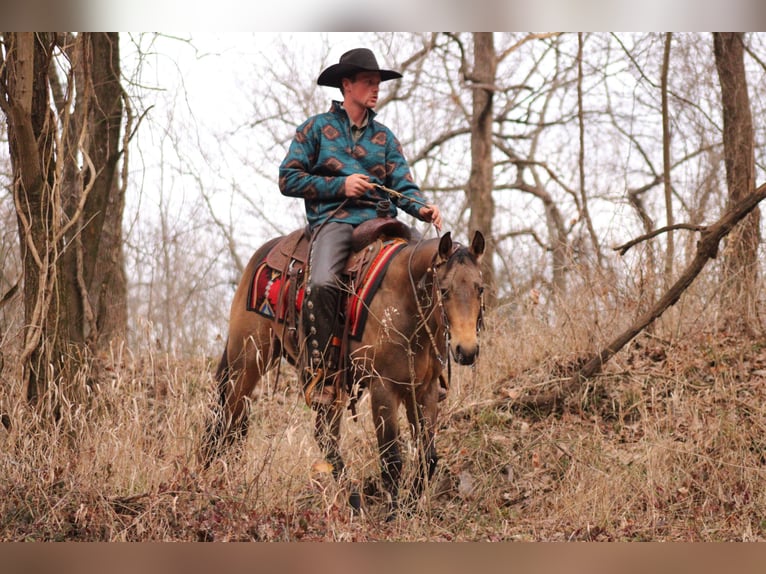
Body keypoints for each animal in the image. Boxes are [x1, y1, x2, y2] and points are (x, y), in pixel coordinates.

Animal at [200, 218, 486, 520]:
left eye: (480, 288)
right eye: (444, 290)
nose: (466, 350)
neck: (404, 302)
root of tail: (264, 253)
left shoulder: (423, 390)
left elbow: (428, 456)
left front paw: (408, 509)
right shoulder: (383, 388)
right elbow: (391, 458)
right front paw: (392, 516)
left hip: (325, 382)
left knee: (323, 435)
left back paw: (353, 502)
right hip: (248, 360)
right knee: (227, 417)